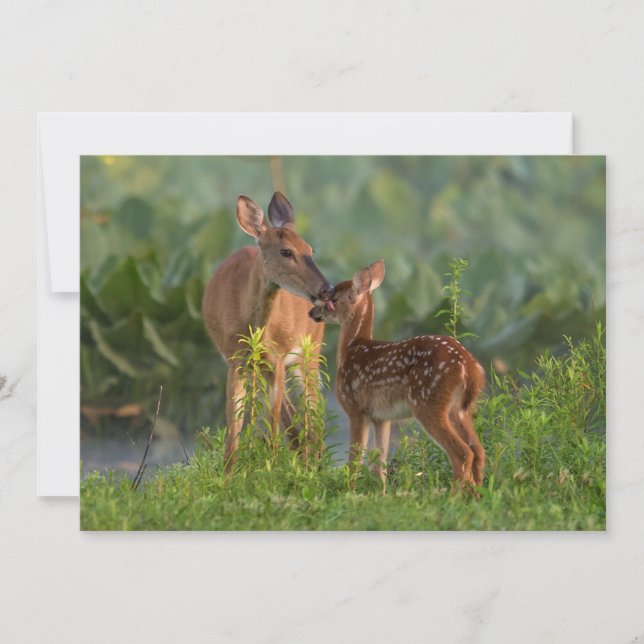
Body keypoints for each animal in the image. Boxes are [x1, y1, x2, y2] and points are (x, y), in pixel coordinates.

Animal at [202, 192, 333, 471]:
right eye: (286, 251)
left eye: (311, 250)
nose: (326, 289)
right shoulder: (235, 360)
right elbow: (234, 430)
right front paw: (230, 474)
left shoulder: (279, 358)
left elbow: (272, 426)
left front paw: (271, 469)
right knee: (294, 418)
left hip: (310, 353)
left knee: (314, 411)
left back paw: (315, 465)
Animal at [308, 259, 485, 491]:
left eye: (333, 299)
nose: (312, 312)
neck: (352, 348)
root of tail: (470, 369)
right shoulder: (382, 417)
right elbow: (380, 462)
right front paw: (381, 493)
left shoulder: (355, 407)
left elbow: (355, 458)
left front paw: (349, 490)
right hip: (460, 409)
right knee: (478, 450)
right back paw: (477, 493)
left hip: (428, 403)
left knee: (462, 453)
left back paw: (453, 494)